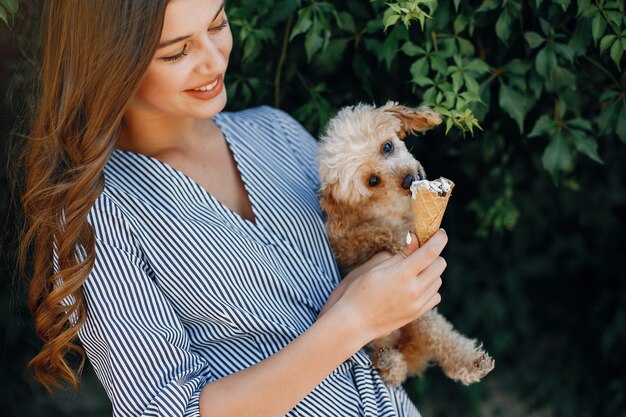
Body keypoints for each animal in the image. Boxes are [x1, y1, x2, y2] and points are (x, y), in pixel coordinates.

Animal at [316, 101, 492, 386]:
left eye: (387, 146)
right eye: (372, 181)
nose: (409, 180)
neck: (392, 210)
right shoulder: (344, 245)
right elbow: (368, 234)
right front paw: (397, 240)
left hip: (423, 320)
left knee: (441, 340)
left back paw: (471, 363)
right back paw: (388, 363)